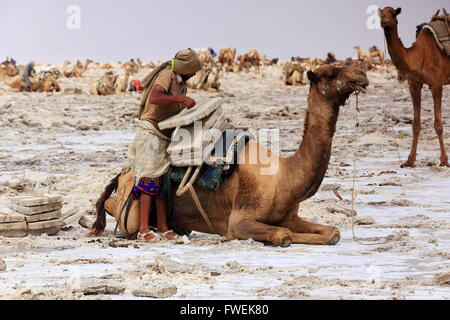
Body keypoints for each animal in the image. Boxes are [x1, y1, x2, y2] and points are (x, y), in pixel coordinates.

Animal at [92, 63, 370, 246]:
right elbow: (283, 235)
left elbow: (332, 232)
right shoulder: (240, 219)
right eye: (331, 72)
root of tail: (123, 173)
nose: (362, 74)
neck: (282, 177)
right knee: (114, 206)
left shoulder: (290, 216)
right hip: (131, 209)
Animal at [380, 6, 450, 168]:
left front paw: (444, 160)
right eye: (380, 14)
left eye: (393, 13)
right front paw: (409, 161)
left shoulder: (436, 85)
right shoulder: (414, 85)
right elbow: (415, 125)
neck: (418, 55)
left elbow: (438, 125)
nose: (384, 22)